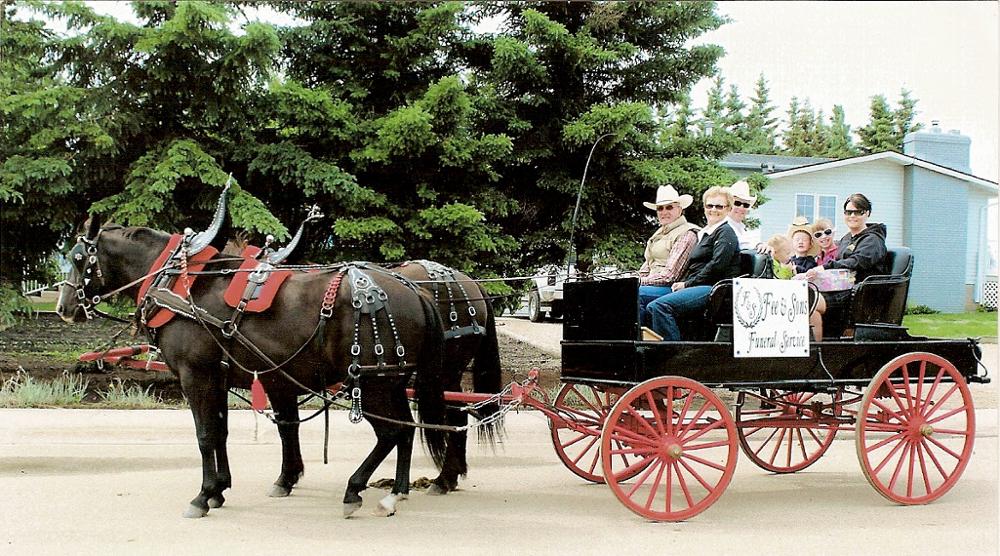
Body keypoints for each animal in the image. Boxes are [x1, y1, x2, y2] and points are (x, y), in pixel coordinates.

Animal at [54, 216, 446, 516]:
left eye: (78, 258)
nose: (63, 307)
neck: (179, 286)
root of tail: (415, 290)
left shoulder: (196, 376)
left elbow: (204, 435)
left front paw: (202, 495)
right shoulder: (218, 376)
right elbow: (221, 433)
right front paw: (219, 489)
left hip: (372, 382)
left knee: (391, 432)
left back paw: (356, 489)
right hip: (391, 379)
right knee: (405, 429)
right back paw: (395, 491)